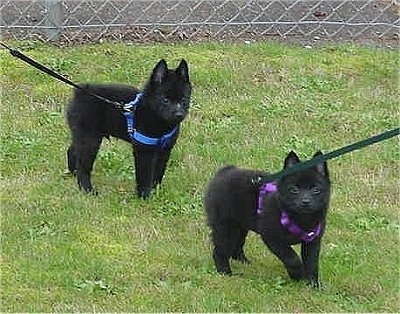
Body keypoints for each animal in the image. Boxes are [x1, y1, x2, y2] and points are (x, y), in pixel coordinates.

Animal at [66, 59, 191, 197]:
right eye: (165, 100)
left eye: (184, 99)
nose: (179, 114)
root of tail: (80, 92)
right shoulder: (144, 151)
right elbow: (145, 176)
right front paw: (144, 196)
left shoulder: (165, 150)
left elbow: (158, 173)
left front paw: (156, 191)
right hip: (90, 139)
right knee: (83, 166)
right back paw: (87, 189)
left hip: (83, 135)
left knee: (72, 151)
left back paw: (73, 173)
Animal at [203, 150, 332, 288]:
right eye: (294, 190)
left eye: (316, 190)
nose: (305, 202)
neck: (299, 218)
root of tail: (222, 173)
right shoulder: (272, 237)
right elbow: (292, 258)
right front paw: (298, 274)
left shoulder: (312, 241)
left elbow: (312, 263)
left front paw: (314, 285)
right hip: (224, 226)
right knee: (219, 251)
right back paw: (225, 272)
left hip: (240, 226)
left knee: (236, 246)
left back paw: (245, 263)